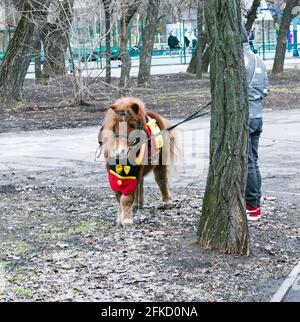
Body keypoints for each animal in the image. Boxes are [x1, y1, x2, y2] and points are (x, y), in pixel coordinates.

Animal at [98, 97, 180, 225]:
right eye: (115, 125)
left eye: (132, 125)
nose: (119, 152)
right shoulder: (113, 174)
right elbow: (119, 197)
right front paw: (120, 218)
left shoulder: (133, 172)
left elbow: (126, 198)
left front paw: (126, 220)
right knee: (140, 182)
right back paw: (138, 203)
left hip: (160, 163)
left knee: (161, 179)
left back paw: (167, 202)